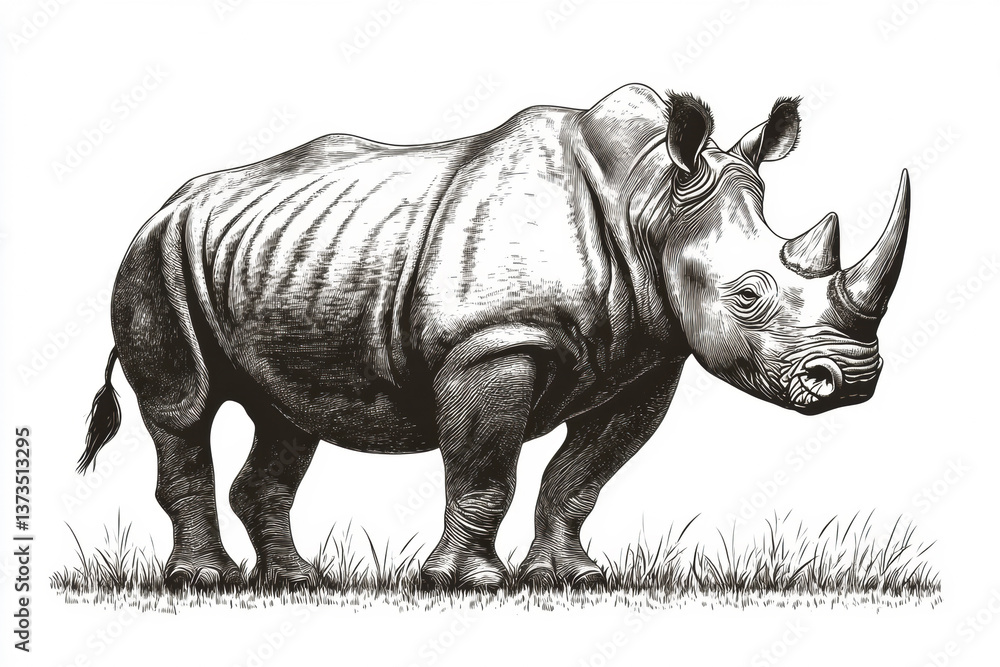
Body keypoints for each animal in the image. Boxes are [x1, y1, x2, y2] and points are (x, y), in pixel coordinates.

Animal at [79, 84, 909, 591]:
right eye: (748, 294)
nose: (853, 378)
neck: (649, 201)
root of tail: (168, 202)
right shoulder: (494, 342)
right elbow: (485, 470)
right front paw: (466, 583)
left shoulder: (647, 358)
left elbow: (580, 477)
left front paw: (571, 577)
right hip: (156, 254)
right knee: (182, 406)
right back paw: (204, 580)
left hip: (279, 260)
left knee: (290, 416)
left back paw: (297, 580)